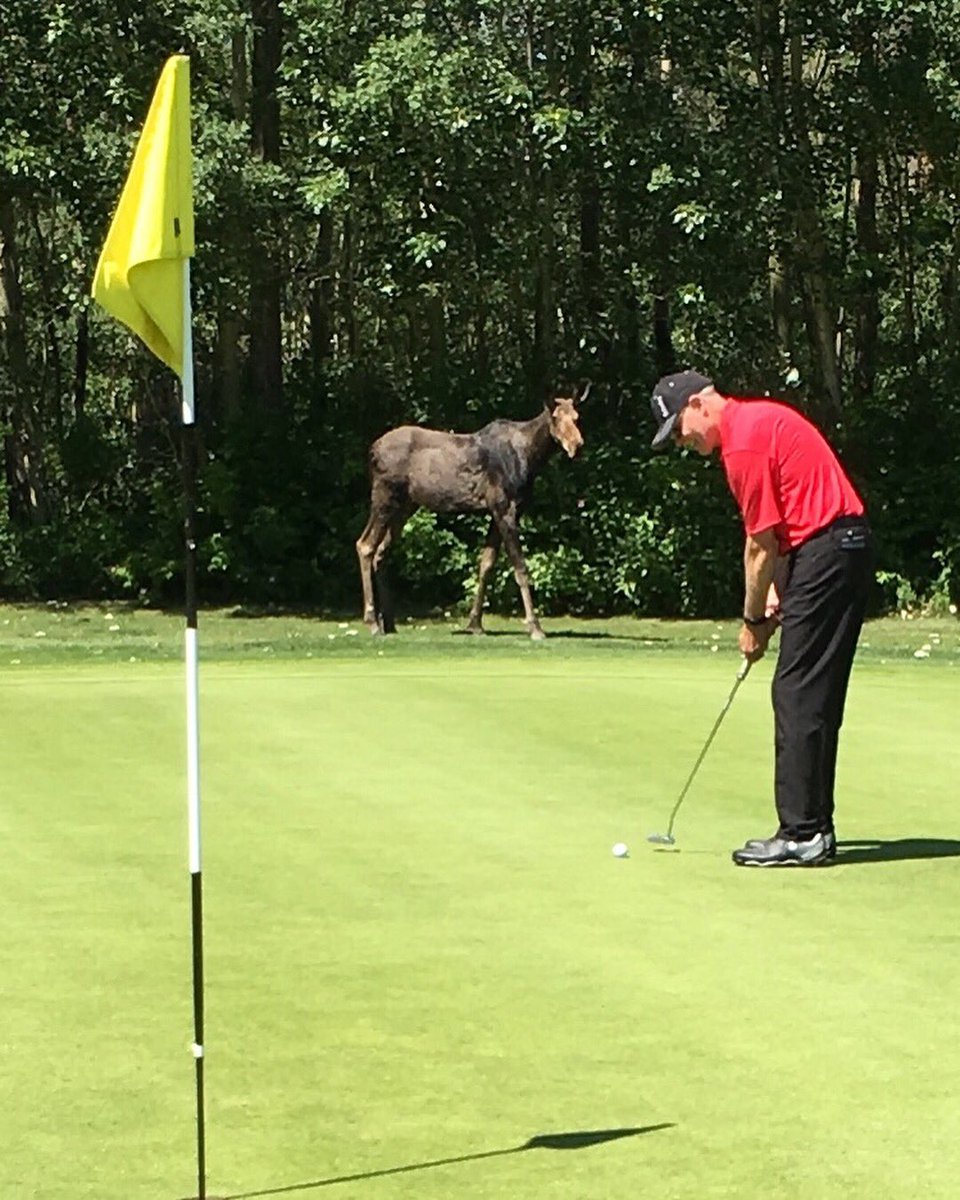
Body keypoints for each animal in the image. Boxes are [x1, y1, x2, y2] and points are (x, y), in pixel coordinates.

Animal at [356, 383, 588, 640]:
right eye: (555, 418)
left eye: (577, 417)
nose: (576, 445)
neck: (531, 457)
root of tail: (371, 450)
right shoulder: (504, 507)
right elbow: (520, 566)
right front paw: (535, 627)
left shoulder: (499, 511)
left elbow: (486, 563)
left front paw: (475, 623)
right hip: (384, 496)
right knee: (365, 545)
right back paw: (372, 622)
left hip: (405, 505)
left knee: (381, 551)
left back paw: (388, 622)